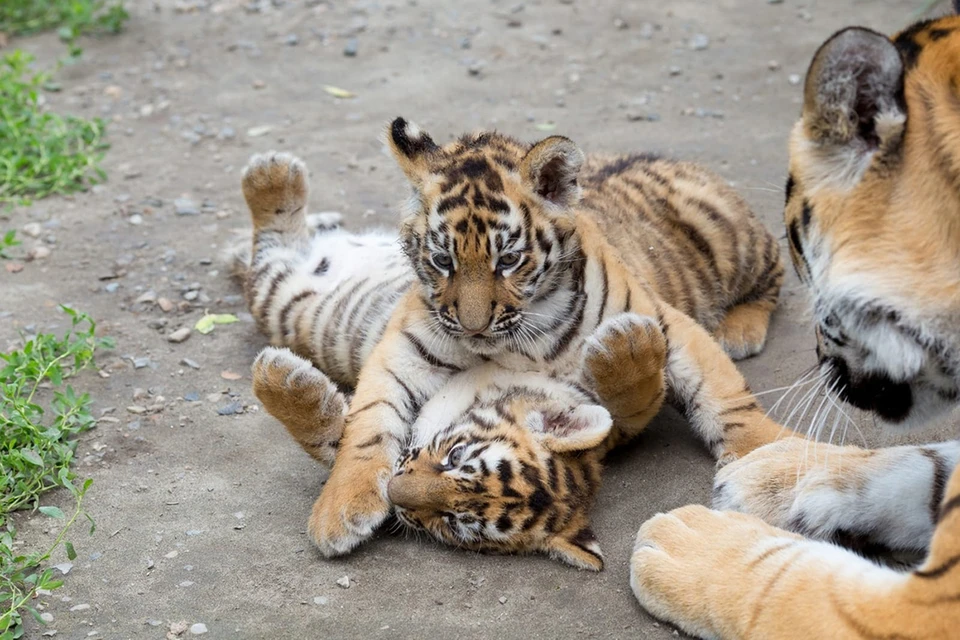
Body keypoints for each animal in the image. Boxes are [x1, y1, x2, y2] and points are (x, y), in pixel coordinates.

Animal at [234, 129, 788, 556]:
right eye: (442, 261)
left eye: (508, 260)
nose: (474, 326)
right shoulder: (405, 350)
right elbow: (367, 426)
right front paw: (341, 508)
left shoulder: (668, 323)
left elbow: (722, 399)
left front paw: (767, 465)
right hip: (286, 292)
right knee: (267, 248)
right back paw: (270, 176)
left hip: (733, 241)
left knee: (776, 271)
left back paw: (740, 329)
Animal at [632, 10, 960, 640]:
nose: (819, 365)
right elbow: (923, 461)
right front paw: (777, 475)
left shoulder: (922, 608)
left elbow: (786, 582)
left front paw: (690, 544)